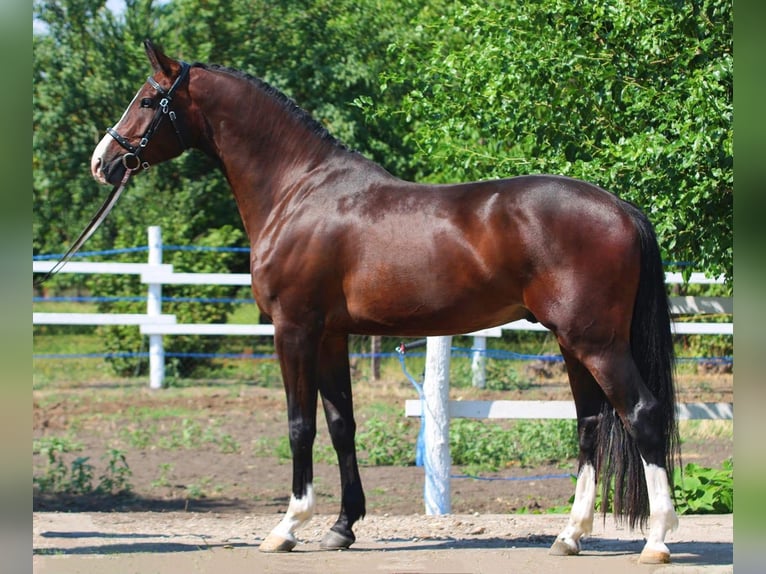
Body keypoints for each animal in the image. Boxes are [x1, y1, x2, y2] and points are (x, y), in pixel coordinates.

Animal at [91, 40, 680, 563]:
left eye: (148, 100)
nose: (104, 162)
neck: (298, 190)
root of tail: (623, 208)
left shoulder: (294, 328)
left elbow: (300, 424)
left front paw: (287, 526)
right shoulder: (331, 335)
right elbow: (340, 424)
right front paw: (342, 526)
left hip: (596, 342)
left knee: (642, 413)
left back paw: (656, 541)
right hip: (573, 342)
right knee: (592, 423)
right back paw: (570, 535)